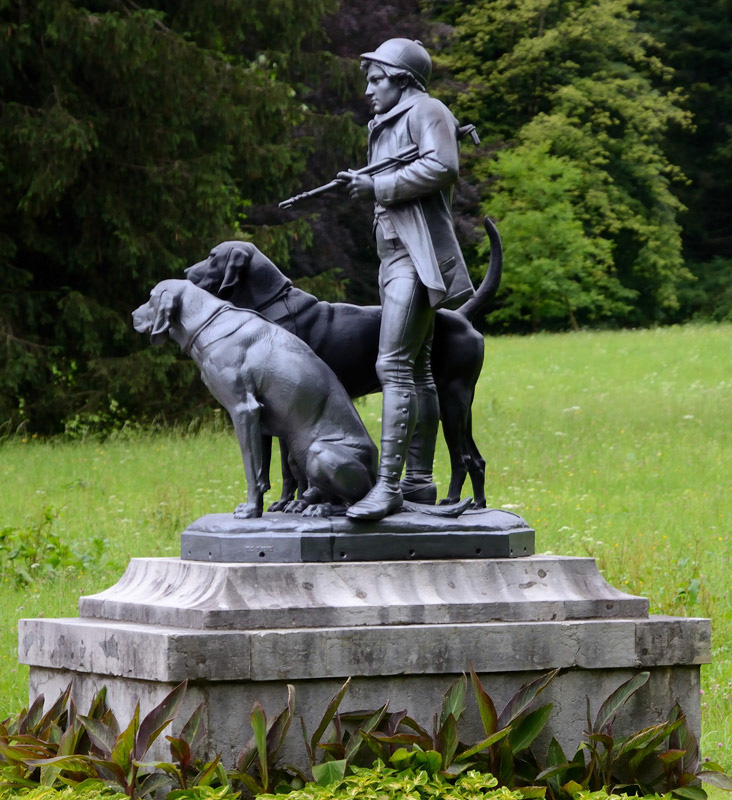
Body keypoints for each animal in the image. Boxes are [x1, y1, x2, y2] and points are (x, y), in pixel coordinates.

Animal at [131, 280, 378, 520]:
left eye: (150, 297)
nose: (132, 314)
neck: (208, 324)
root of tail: (376, 474)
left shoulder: (243, 410)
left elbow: (252, 470)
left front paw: (250, 510)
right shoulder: (260, 422)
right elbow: (262, 470)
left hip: (320, 452)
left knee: (352, 503)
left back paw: (322, 509)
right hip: (295, 453)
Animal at [186, 216, 500, 510]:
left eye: (213, 256)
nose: (186, 273)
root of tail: (461, 315)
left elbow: (291, 467)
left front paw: (296, 502)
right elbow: (279, 466)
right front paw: (285, 502)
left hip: (452, 400)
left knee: (461, 457)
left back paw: (453, 501)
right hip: (460, 406)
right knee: (476, 459)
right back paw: (475, 504)